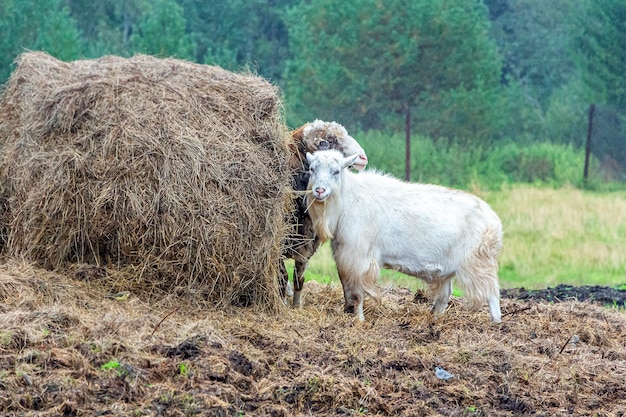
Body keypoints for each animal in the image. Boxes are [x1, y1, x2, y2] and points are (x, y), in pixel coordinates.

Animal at [306, 150, 502, 322]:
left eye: (336, 171)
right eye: (312, 169)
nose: (319, 190)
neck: (349, 198)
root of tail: (494, 221)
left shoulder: (359, 257)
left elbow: (357, 294)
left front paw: (359, 320)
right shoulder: (345, 256)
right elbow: (347, 288)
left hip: (479, 263)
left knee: (492, 295)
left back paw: (496, 323)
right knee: (444, 297)